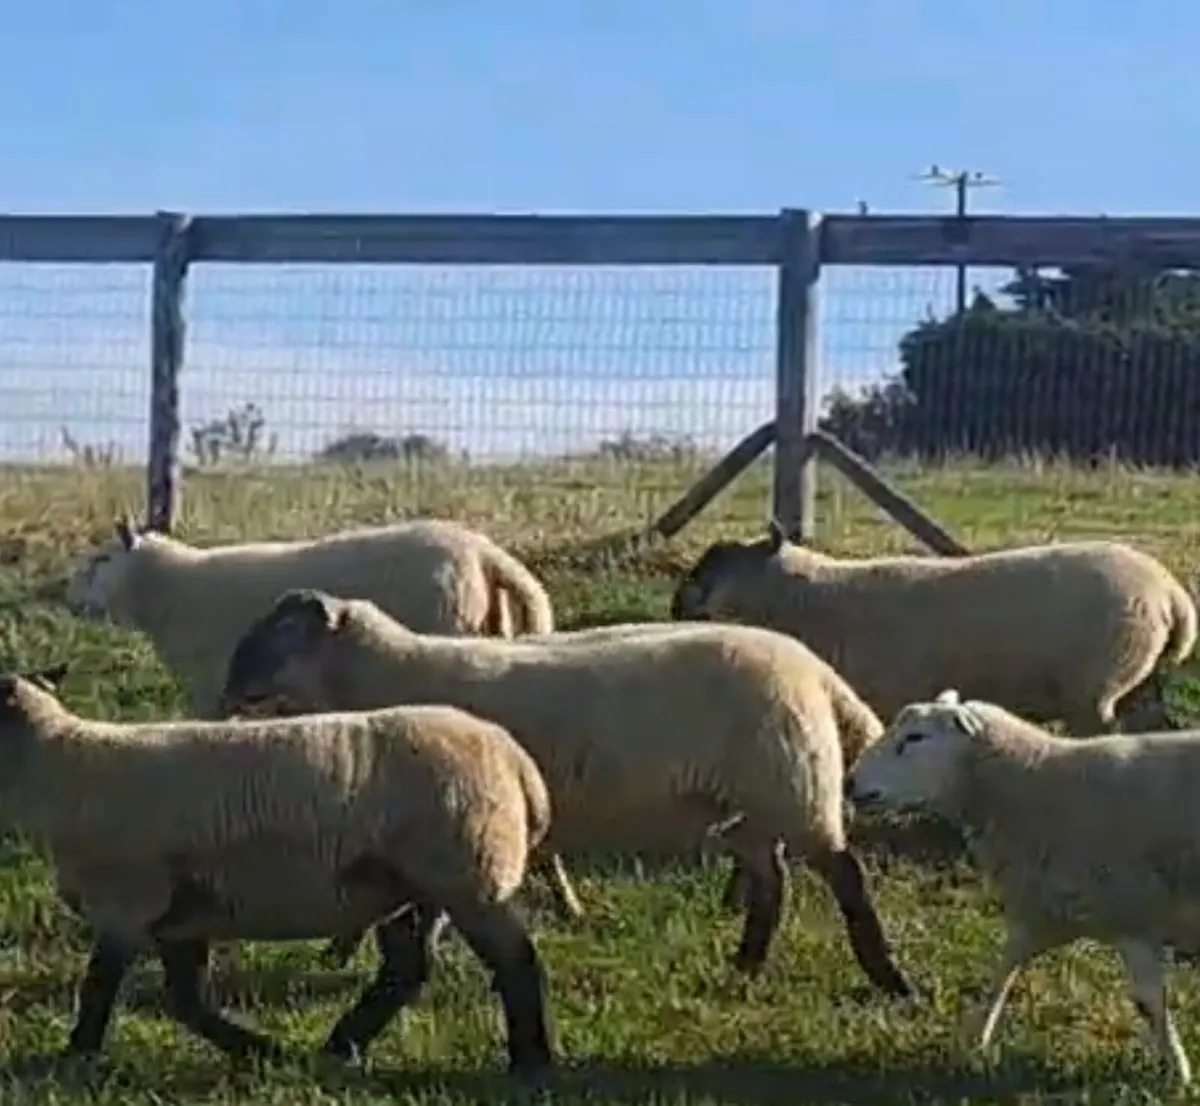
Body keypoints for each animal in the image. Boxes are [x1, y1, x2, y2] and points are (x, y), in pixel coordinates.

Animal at [0, 665, 556, 1075]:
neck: (57, 763)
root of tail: (519, 764)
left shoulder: (128, 899)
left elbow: (100, 987)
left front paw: (75, 1057)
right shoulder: (179, 914)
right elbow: (187, 1000)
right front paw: (265, 1052)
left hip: (469, 876)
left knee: (515, 962)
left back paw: (530, 1062)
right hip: (412, 889)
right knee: (407, 970)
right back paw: (340, 1047)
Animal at [217, 587, 916, 999]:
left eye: (282, 634)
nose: (228, 694)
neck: (381, 675)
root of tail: (815, 670)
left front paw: (348, 954)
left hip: (792, 785)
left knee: (844, 875)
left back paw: (888, 976)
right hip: (745, 802)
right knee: (772, 882)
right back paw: (745, 966)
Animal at [845, 689, 1200, 1088]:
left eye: (916, 738)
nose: (849, 783)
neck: (1036, 781)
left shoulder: (1129, 913)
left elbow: (1151, 1001)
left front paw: (1177, 1070)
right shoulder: (1043, 912)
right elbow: (1003, 971)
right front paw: (975, 1042)